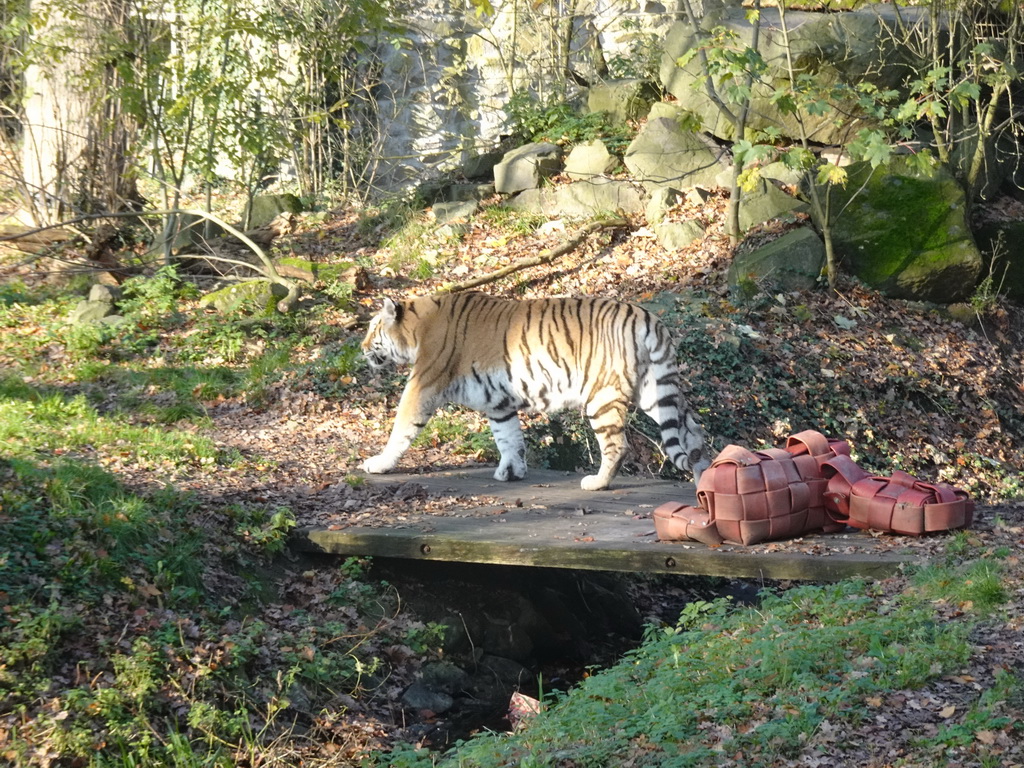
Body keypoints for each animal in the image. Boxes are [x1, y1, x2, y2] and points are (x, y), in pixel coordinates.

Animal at [362, 290, 712, 489]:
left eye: (373, 328)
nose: (362, 348)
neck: (416, 328)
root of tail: (646, 316)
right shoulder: (499, 402)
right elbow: (508, 438)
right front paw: (512, 472)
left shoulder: (422, 383)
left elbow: (401, 427)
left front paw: (378, 464)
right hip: (654, 389)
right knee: (693, 429)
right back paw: (703, 479)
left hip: (601, 394)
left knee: (617, 445)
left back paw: (596, 484)